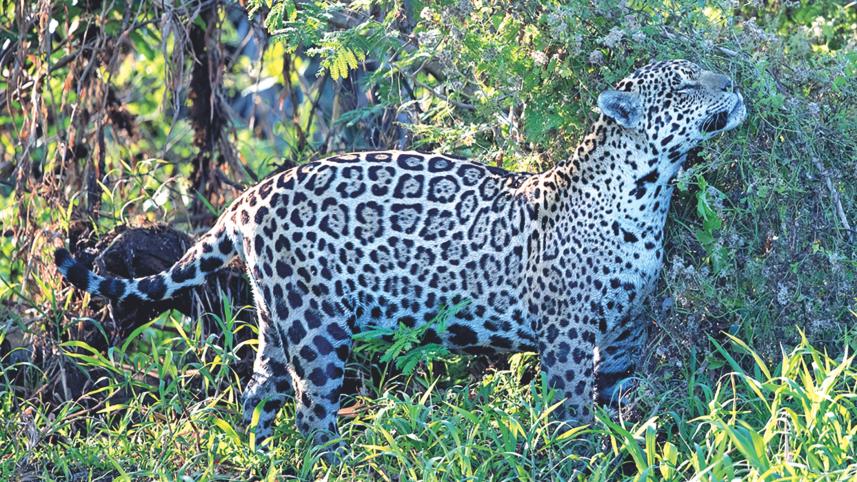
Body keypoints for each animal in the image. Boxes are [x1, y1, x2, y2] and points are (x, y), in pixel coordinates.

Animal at [53, 59, 746, 454]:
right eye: (687, 84)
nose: (734, 85)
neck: (649, 193)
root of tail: (249, 197)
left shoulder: (624, 337)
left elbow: (620, 408)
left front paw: (625, 454)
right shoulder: (569, 339)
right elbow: (573, 417)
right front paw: (581, 460)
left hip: (277, 320)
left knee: (257, 398)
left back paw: (256, 459)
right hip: (317, 328)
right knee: (313, 414)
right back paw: (331, 464)